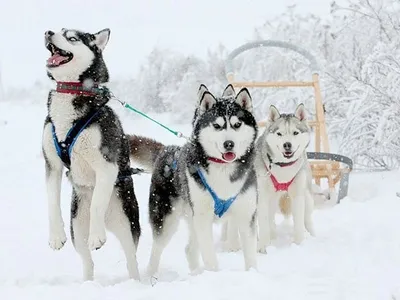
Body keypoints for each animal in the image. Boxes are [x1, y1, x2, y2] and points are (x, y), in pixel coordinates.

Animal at [41, 28, 141, 282]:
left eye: (72, 37)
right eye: (58, 30)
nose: (48, 32)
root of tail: (109, 221)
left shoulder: (106, 165)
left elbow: (97, 203)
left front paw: (97, 236)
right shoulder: (52, 165)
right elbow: (51, 201)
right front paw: (55, 236)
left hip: (128, 224)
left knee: (131, 259)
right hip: (77, 228)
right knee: (87, 260)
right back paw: (87, 282)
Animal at [128, 84, 260, 274]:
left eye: (237, 124)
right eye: (217, 125)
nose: (229, 144)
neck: (223, 170)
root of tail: (167, 150)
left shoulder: (246, 214)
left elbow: (250, 256)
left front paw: (253, 273)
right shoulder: (203, 218)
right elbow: (210, 257)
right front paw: (214, 274)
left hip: (192, 218)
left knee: (190, 249)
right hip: (167, 219)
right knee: (157, 250)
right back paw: (149, 275)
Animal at [253, 104, 316, 252]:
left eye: (295, 133)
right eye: (279, 134)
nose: (287, 144)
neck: (283, 167)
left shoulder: (298, 196)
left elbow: (298, 223)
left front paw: (299, 244)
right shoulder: (262, 196)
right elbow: (264, 224)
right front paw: (263, 248)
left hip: (307, 197)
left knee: (307, 219)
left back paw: (312, 236)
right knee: (270, 219)